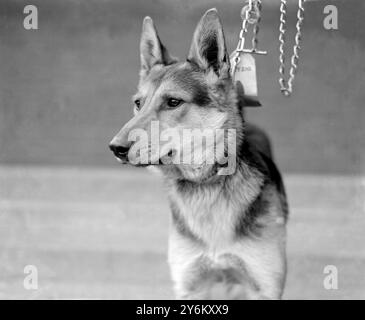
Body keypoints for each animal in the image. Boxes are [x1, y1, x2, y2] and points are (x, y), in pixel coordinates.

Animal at [108, 8, 288, 298]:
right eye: (138, 103)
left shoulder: (264, 287)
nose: (116, 147)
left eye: (173, 102)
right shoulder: (190, 285)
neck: (207, 183)